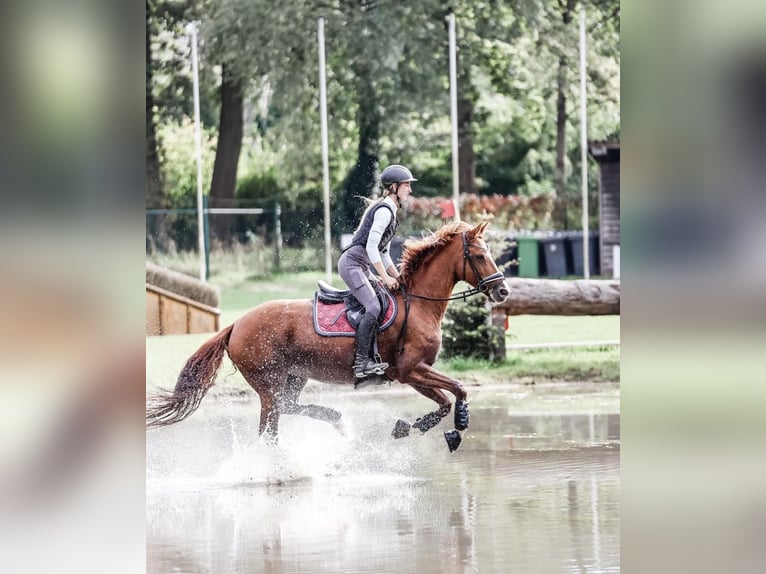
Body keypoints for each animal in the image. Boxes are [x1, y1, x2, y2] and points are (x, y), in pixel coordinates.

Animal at [148, 223, 512, 452]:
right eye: (480, 256)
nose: (503, 291)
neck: (419, 302)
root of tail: (235, 325)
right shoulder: (411, 370)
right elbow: (457, 389)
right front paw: (457, 425)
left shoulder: (412, 373)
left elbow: (445, 399)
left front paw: (417, 426)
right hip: (268, 384)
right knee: (271, 428)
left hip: (294, 377)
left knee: (289, 409)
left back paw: (337, 422)